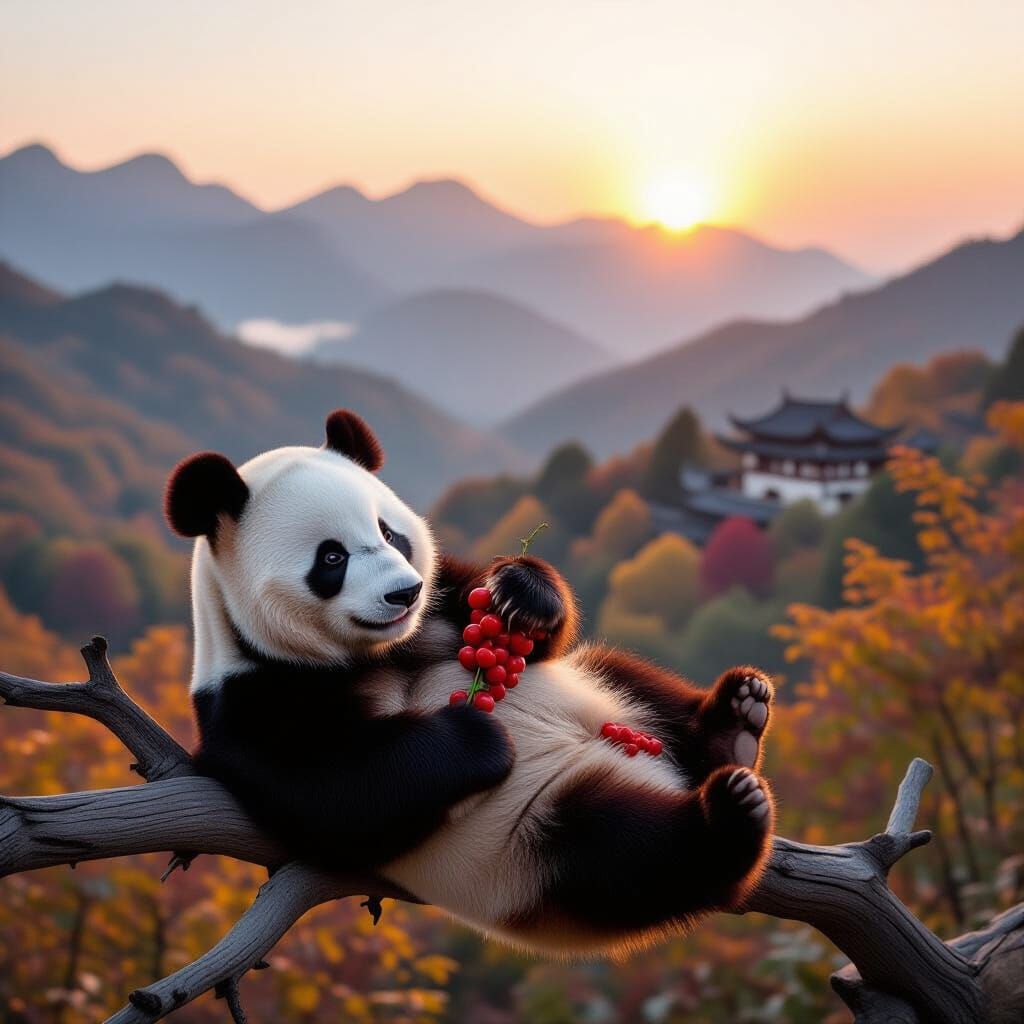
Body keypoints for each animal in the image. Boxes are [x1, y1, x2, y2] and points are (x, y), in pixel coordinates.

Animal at [165, 409, 775, 956]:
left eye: (391, 533)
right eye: (331, 557)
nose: (403, 593)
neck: (369, 653)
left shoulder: (440, 610)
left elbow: (526, 633)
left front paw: (523, 595)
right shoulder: (250, 701)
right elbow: (340, 789)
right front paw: (477, 739)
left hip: (606, 696)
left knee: (634, 686)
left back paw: (734, 723)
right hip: (525, 847)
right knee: (619, 851)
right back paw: (727, 815)